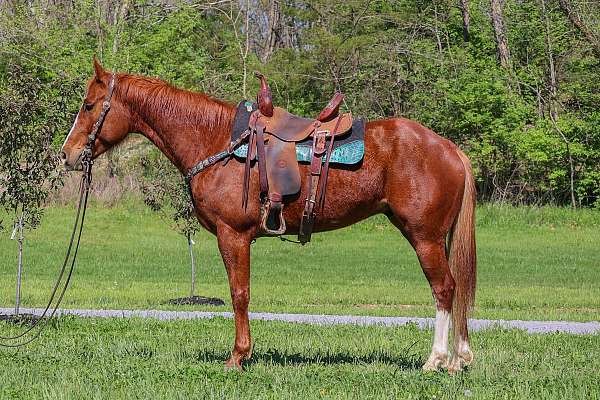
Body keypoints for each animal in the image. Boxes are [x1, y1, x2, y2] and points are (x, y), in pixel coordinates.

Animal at [63, 58, 476, 372]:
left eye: (88, 105)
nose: (67, 155)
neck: (218, 141)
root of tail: (449, 148)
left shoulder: (233, 235)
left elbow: (239, 293)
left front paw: (238, 357)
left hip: (424, 237)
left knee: (444, 289)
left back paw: (437, 360)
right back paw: (459, 359)